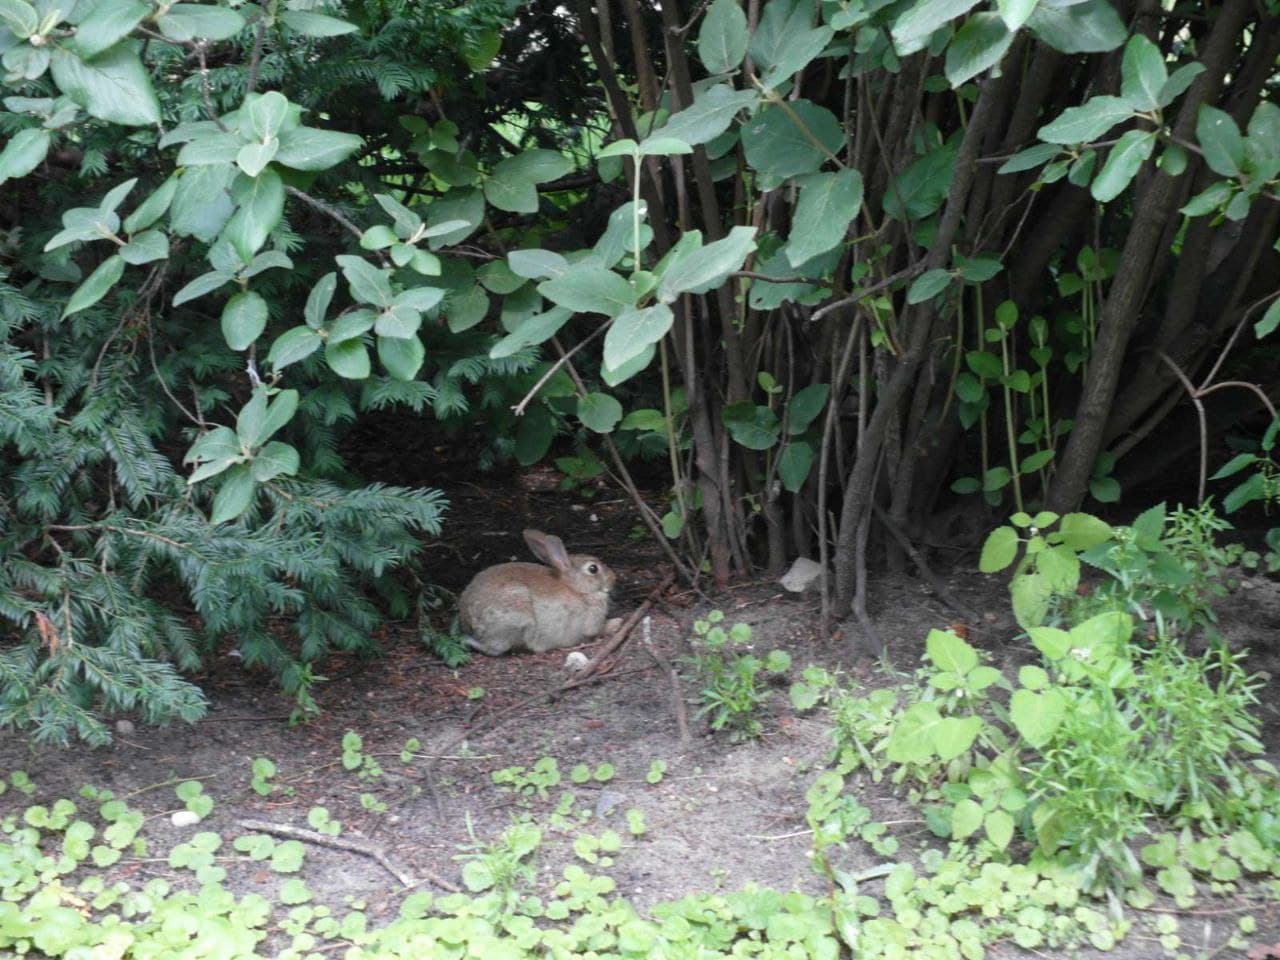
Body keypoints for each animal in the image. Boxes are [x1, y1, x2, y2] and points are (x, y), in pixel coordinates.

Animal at [460, 529, 619, 660]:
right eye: (593, 569)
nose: (614, 578)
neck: (576, 588)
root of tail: (470, 623)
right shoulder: (590, 625)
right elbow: (598, 630)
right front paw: (616, 622)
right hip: (518, 617)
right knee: (496, 648)